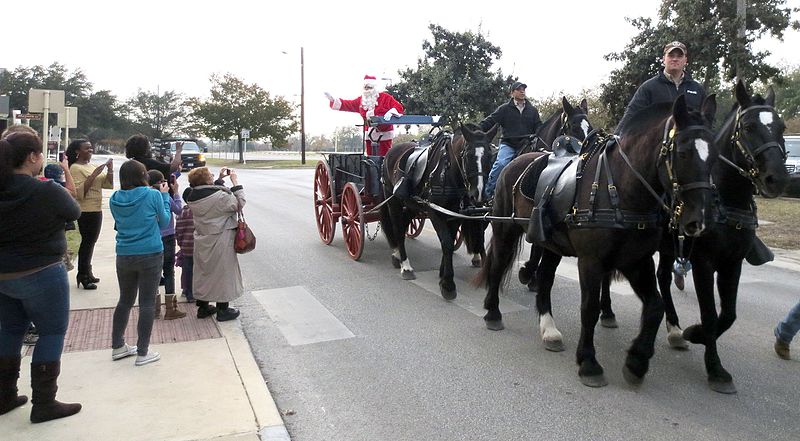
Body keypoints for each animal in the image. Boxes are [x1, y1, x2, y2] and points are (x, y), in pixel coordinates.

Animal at [378, 124, 496, 300]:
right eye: (468, 155)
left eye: (490, 155)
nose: (479, 193)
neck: (448, 172)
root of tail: (392, 151)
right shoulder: (435, 212)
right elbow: (446, 243)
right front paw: (448, 284)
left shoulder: (454, 215)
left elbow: (449, 241)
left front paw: (443, 274)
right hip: (394, 202)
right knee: (398, 229)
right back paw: (405, 266)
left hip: (412, 205)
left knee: (404, 224)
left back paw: (397, 256)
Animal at [476, 94, 720, 386]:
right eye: (682, 153)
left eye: (714, 156)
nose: (701, 219)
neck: (621, 191)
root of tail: (516, 162)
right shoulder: (591, 261)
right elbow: (589, 308)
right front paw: (589, 362)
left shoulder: (637, 261)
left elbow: (655, 306)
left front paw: (637, 361)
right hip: (505, 230)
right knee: (498, 264)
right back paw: (492, 312)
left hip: (552, 245)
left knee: (545, 278)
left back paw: (549, 329)